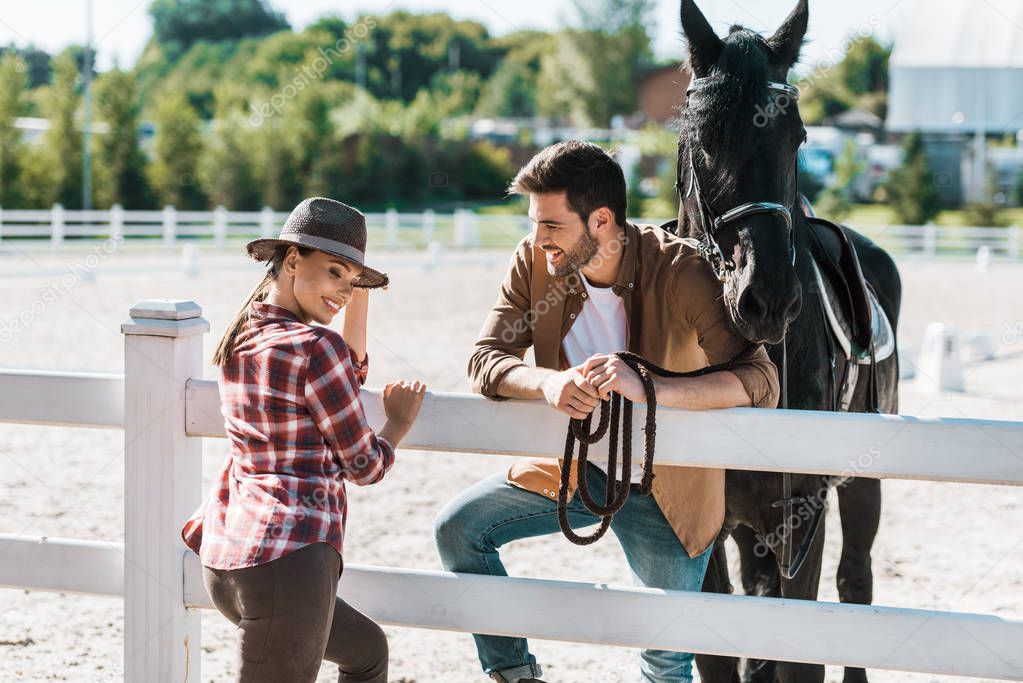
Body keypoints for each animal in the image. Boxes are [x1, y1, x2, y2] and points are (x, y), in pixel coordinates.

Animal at [671, 2, 904, 678]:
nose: (768, 297)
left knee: (855, 585)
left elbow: (802, 649)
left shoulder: (804, 515)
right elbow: (719, 653)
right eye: (704, 136)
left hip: (860, 487)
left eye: (797, 137)